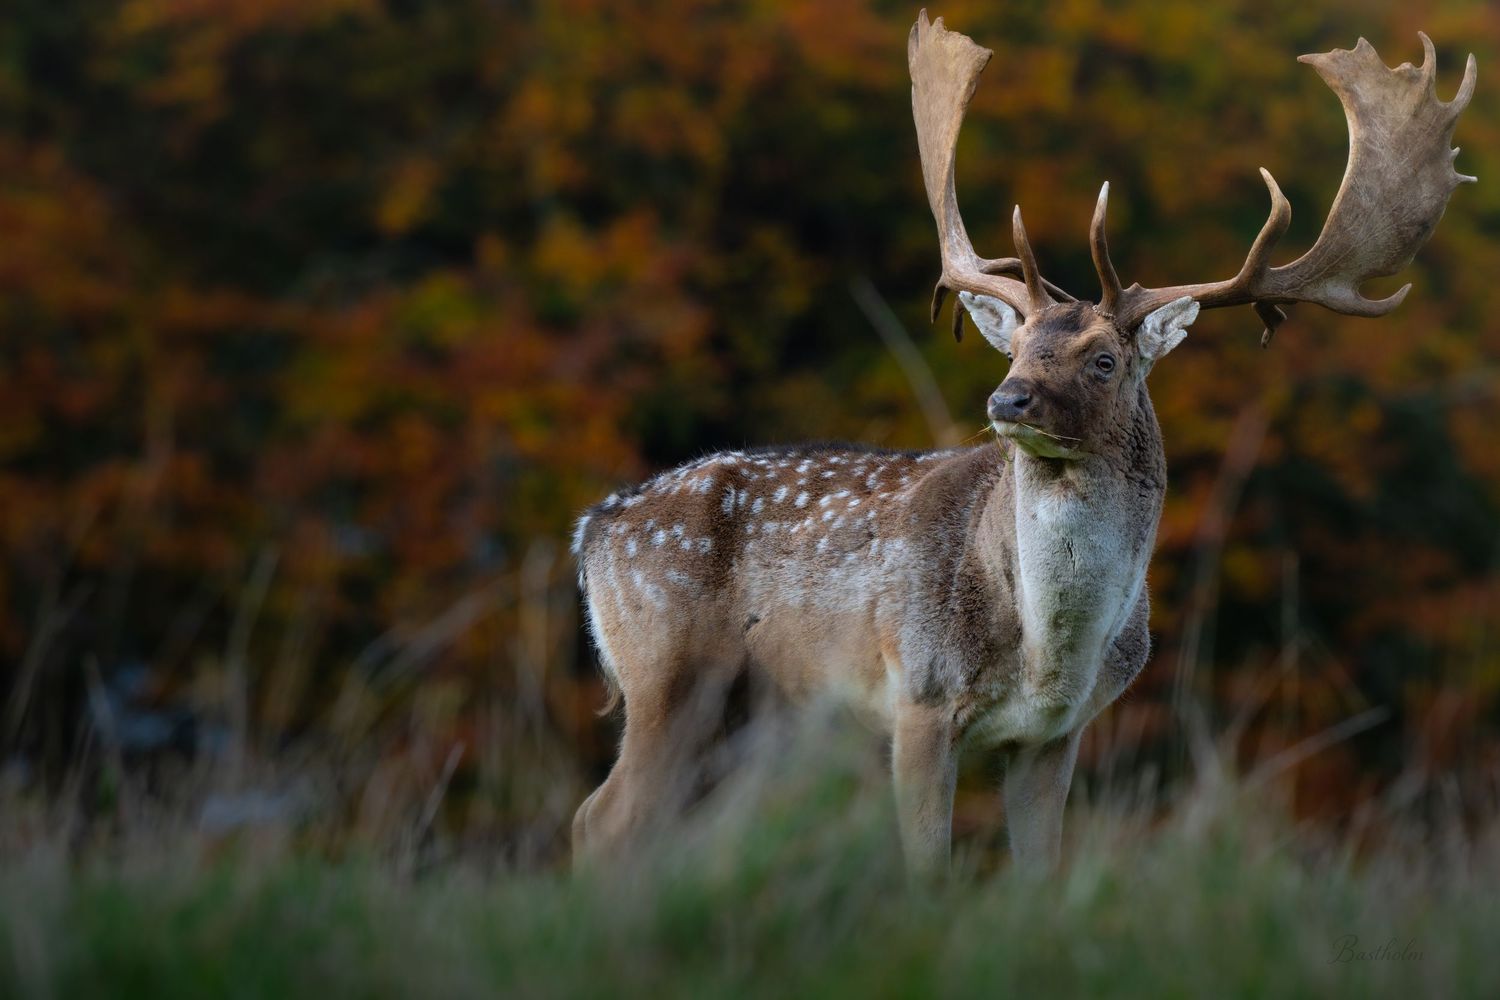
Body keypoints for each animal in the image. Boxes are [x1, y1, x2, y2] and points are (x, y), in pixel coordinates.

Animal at [569, 10, 1476, 874]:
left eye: (1104, 359)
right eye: (1016, 347)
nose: (1006, 398)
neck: (1047, 654)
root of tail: (593, 530)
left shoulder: (1054, 736)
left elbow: (1039, 874)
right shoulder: (919, 695)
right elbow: (928, 872)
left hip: (748, 716)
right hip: (668, 672)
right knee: (604, 822)